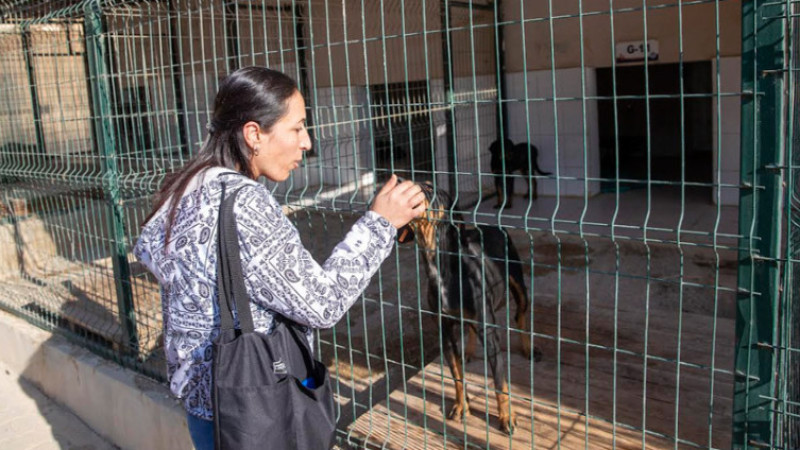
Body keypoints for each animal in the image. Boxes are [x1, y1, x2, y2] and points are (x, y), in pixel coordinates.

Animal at [398, 182, 544, 432]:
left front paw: (506, 417)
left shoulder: (489, 330)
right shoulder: (445, 331)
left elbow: (499, 381)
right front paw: (461, 406)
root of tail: (493, 226)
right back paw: (469, 351)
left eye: (429, 187)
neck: (441, 267)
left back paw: (528, 349)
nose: (398, 181)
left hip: (519, 286)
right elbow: (457, 375)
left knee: (520, 315)